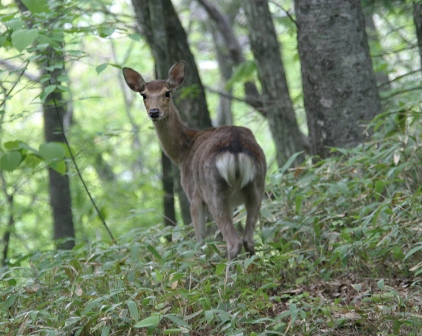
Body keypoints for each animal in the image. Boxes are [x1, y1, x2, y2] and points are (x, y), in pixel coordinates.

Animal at [123, 61, 268, 260]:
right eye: (144, 94)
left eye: (167, 92)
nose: (154, 112)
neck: (183, 152)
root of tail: (236, 147)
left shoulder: (193, 195)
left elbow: (200, 242)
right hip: (257, 185)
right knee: (249, 240)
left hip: (213, 190)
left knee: (234, 241)